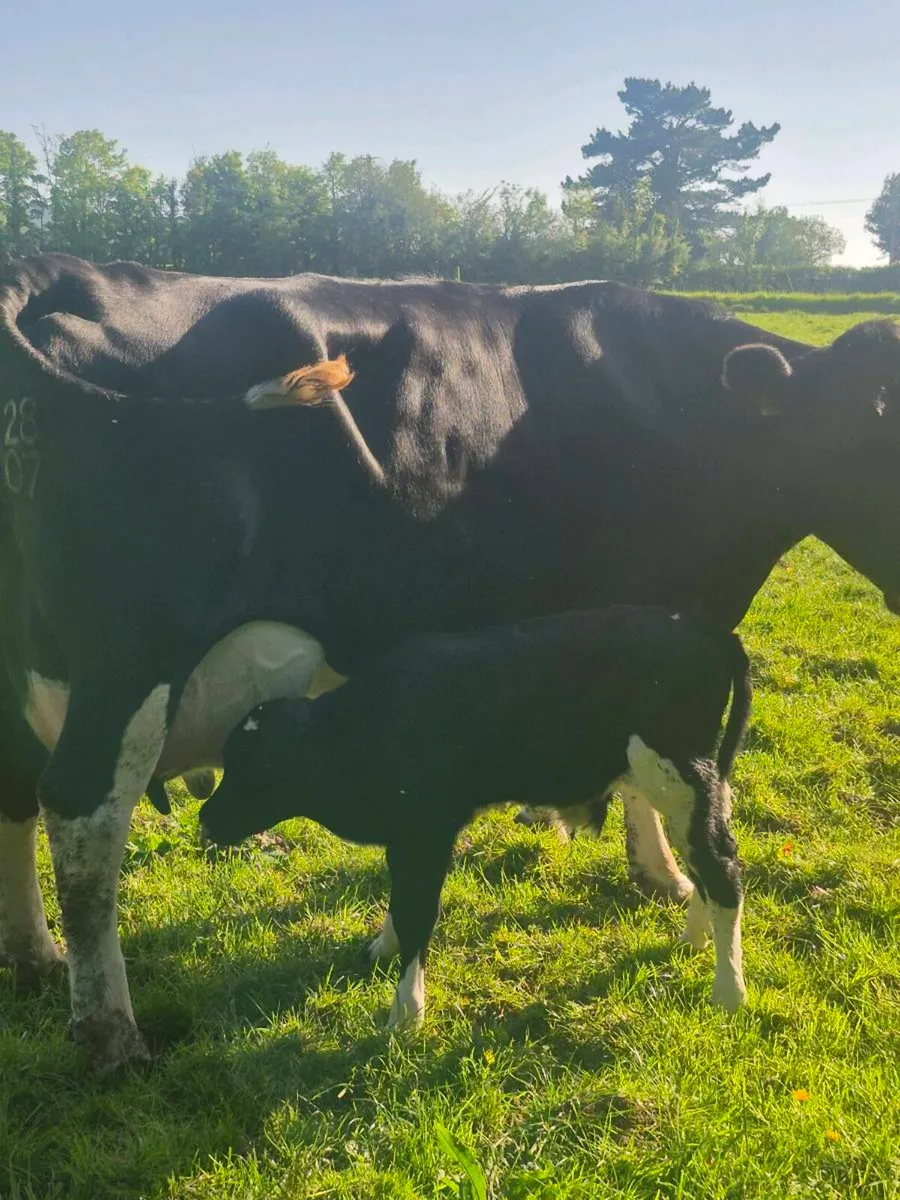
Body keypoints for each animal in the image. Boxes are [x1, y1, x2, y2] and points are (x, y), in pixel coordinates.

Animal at [200, 606, 752, 1023]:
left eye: (263, 768)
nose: (205, 818)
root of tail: (708, 631)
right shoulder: (406, 836)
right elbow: (400, 899)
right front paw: (383, 948)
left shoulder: (426, 831)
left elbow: (418, 912)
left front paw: (406, 1013)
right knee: (702, 863)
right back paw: (692, 940)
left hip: (680, 775)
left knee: (722, 870)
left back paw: (729, 993)